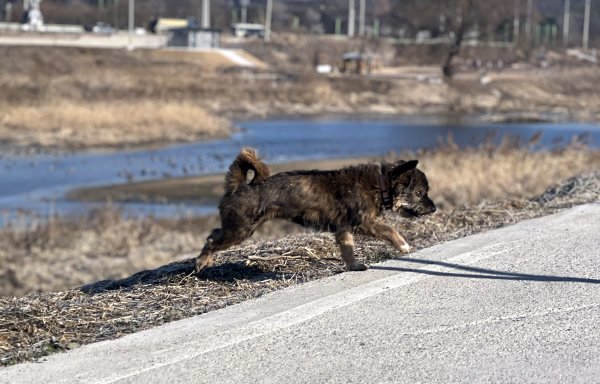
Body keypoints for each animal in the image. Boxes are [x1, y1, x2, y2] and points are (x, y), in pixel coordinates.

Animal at [197, 148, 436, 272]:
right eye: (420, 193)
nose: (434, 208)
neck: (380, 183)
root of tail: (239, 186)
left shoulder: (344, 229)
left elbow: (348, 250)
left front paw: (354, 265)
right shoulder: (363, 223)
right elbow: (390, 230)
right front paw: (403, 245)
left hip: (237, 228)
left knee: (213, 234)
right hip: (240, 230)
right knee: (211, 240)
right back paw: (201, 262)